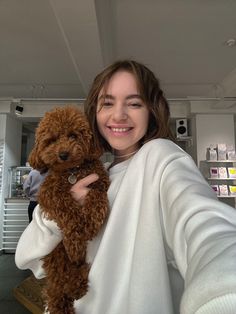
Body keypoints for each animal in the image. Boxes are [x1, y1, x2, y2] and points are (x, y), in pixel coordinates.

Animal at [28, 106, 109, 314]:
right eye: (52, 140)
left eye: (73, 135)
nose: (63, 154)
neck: (72, 172)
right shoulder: (49, 194)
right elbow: (67, 209)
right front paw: (75, 242)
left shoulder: (100, 182)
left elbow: (98, 199)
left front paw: (90, 224)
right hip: (56, 255)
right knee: (61, 280)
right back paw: (74, 285)